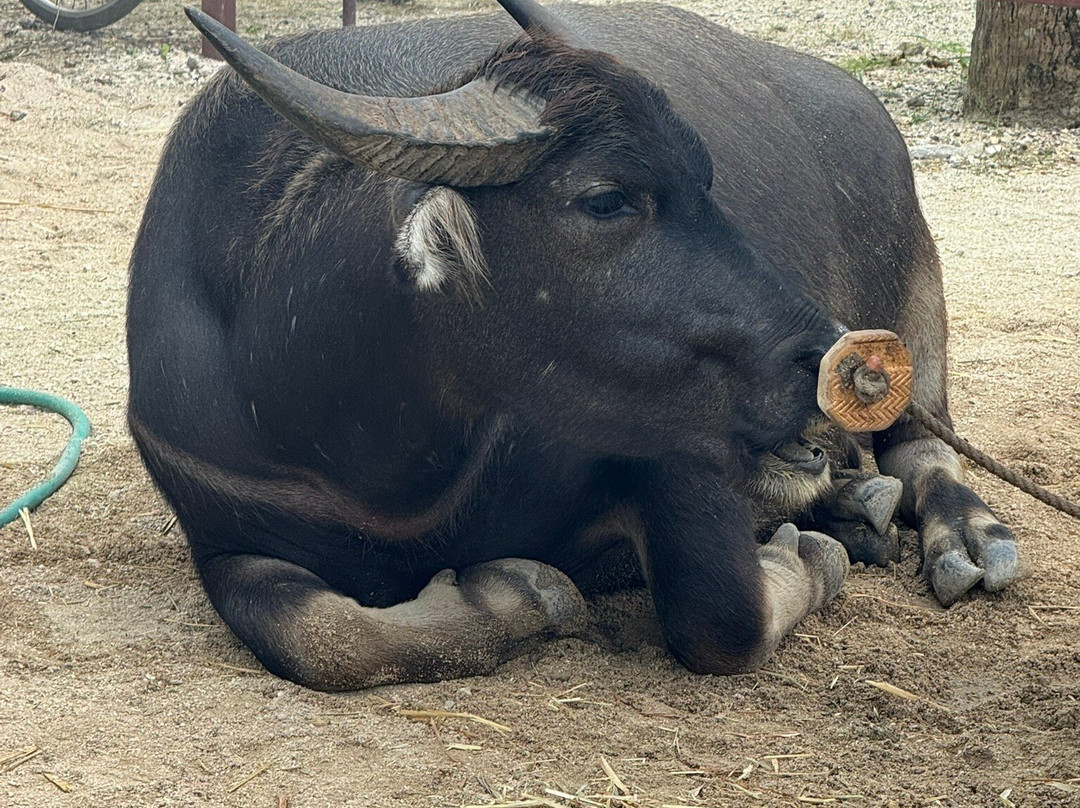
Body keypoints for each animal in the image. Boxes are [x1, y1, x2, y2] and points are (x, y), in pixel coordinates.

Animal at [126, 0, 1019, 690]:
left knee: (924, 448)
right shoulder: (224, 535)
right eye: (603, 200)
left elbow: (719, 614)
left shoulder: (669, 444)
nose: (846, 359)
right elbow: (320, 637)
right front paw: (511, 594)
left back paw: (966, 536)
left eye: (708, 180)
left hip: (917, 294)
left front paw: (806, 561)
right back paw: (854, 506)